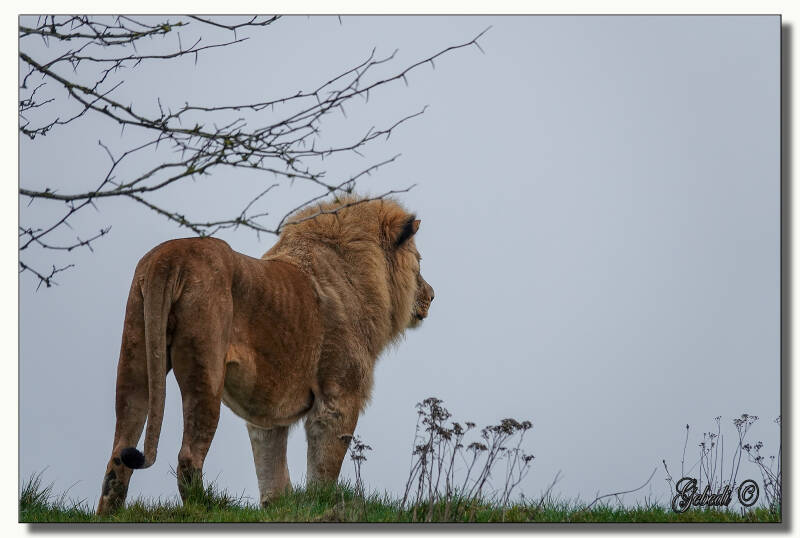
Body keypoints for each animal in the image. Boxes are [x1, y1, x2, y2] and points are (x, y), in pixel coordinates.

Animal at [95, 196, 434, 515]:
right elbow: (324, 469)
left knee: (119, 453)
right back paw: (207, 507)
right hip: (206, 370)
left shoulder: (268, 415)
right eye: (419, 262)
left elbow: (272, 471)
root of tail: (168, 258)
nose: (432, 295)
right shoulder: (338, 399)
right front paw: (321, 504)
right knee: (188, 455)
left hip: (137, 356)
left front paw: (275, 507)